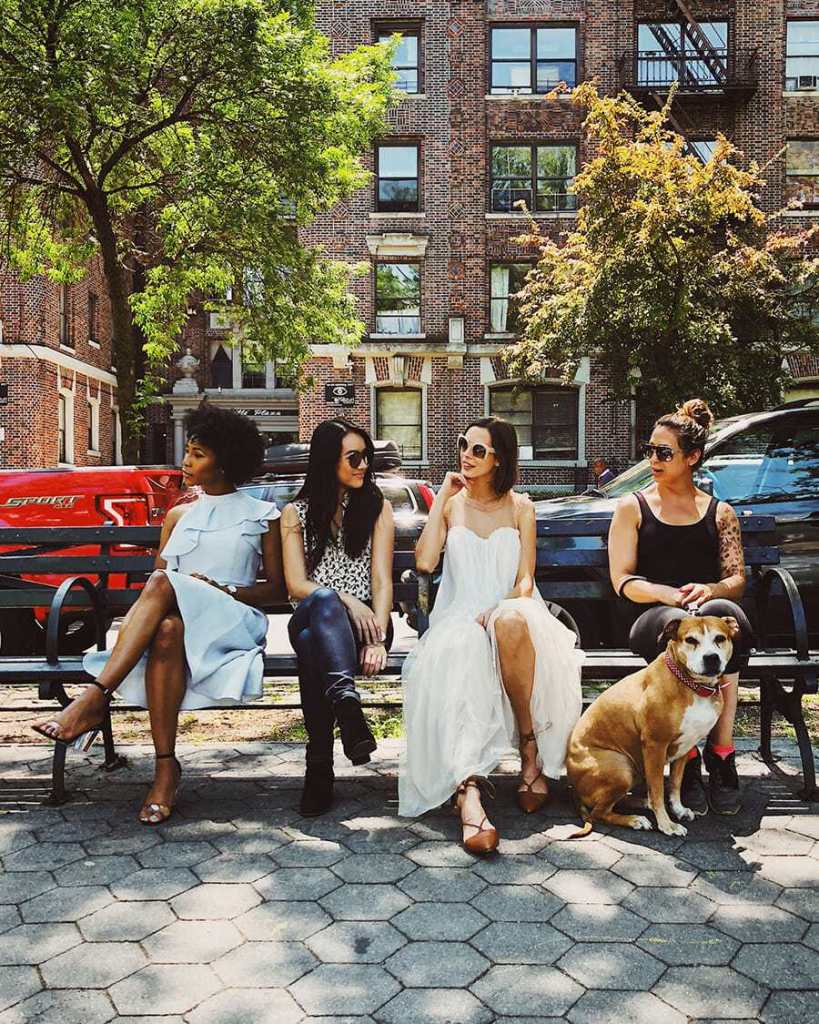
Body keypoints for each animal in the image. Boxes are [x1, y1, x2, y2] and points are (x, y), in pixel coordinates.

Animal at [565, 610, 737, 835]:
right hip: (622, 768)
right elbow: (657, 790)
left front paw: (678, 809)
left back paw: (641, 803)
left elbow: (675, 784)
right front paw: (666, 824)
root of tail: (574, 789)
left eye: (720, 638)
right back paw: (635, 819)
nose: (711, 658)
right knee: (600, 812)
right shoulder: (655, 746)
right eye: (691, 640)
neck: (690, 685)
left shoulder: (685, 746)